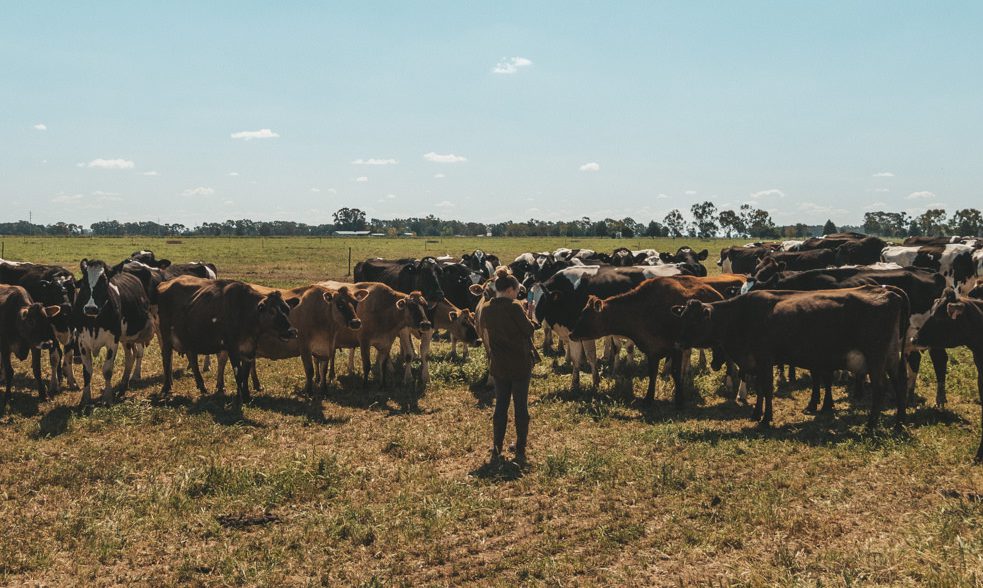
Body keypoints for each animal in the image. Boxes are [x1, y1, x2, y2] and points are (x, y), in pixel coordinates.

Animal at [155, 278, 296, 402]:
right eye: (271, 311)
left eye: (287, 309)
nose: (291, 332)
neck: (245, 312)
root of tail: (165, 283)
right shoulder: (232, 349)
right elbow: (239, 374)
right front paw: (240, 398)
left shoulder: (249, 350)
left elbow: (245, 375)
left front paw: (246, 396)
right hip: (166, 335)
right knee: (167, 358)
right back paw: (166, 388)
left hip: (189, 338)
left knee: (192, 358)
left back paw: (202, 387)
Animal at [676, 284, 908, 428]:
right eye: (682, 316)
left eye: (694, 320)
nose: (677, 341)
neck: (741, 315)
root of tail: (888, 293)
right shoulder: (756, 362)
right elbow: (759, 389)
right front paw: (756, 414)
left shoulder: (765, 359)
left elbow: (767, 389)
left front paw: (766, 419)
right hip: (891, 357)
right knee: (899, 384)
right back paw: (898, 423)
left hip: (876, 357)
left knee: (880, 387)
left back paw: (870, 425)